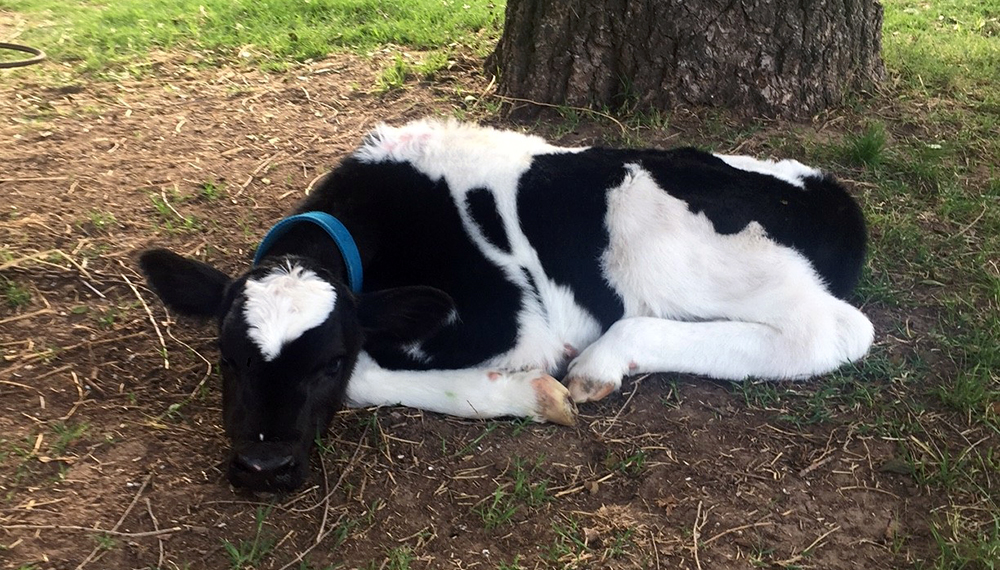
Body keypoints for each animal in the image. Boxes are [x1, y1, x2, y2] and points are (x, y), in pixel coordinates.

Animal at [139, 119, 874, 492]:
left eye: (327, 363)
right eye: (227, 357)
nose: (262, 469)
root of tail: (829, 193)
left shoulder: (513, 323)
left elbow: (370, 376)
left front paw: (534, 394)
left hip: (653, 235)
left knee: (833, 330)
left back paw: (604, 360)